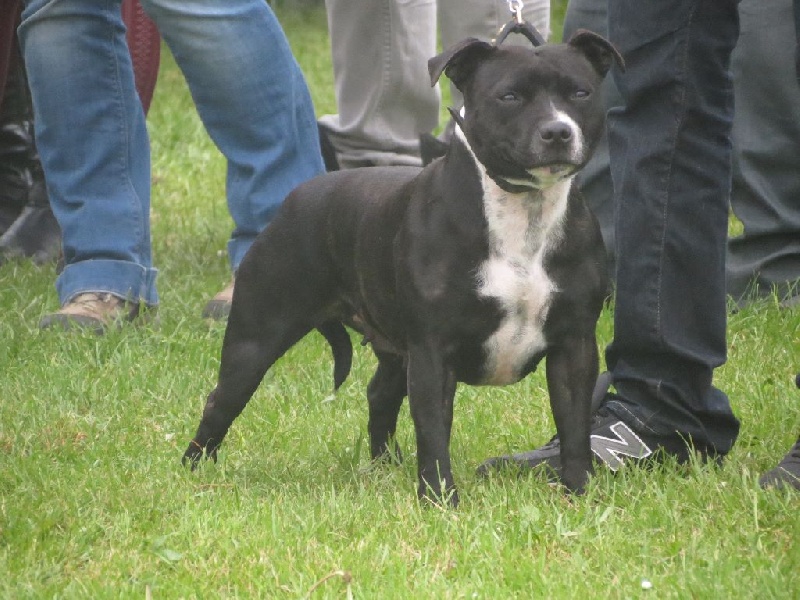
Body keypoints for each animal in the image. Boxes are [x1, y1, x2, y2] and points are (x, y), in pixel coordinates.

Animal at [183, 30, 622, 507]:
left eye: (580, 92)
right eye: (509, 96)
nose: (558, 130)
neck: (522, 209)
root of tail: (296, 197)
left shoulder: (574, 345)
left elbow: (574, 427)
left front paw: (579, 492)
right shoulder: (432, 353)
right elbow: (433, 432)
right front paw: (439, 500)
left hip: (393, 347)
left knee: (379, 392)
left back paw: (384, 463)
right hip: (257, 337)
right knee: (221, 399)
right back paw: (193, 470)